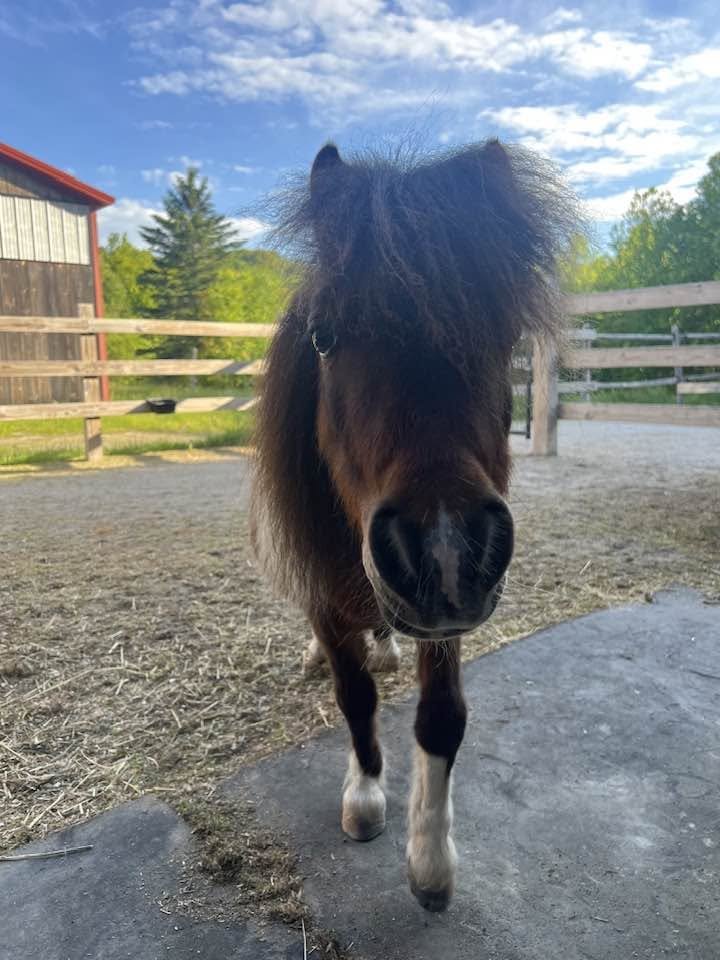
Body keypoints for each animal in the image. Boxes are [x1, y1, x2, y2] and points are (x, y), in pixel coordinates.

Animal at [251, 139, 574, 912]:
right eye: (323, 338)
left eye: (506, 340)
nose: (445, 549)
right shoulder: (323, 588)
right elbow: (355, 696)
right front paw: (366, 795)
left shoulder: (447, 616)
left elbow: (442, 718)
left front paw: (430, 861)